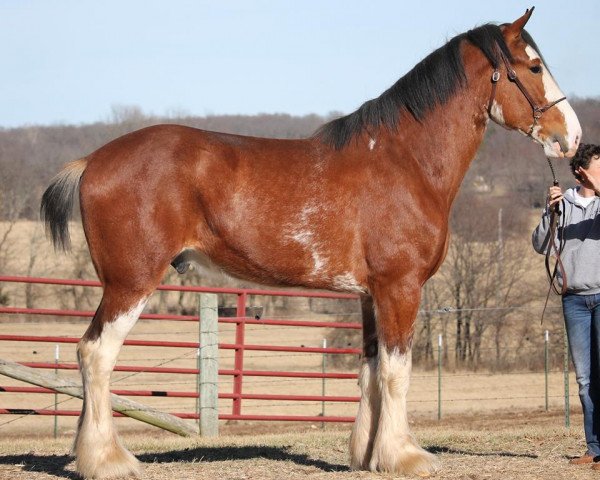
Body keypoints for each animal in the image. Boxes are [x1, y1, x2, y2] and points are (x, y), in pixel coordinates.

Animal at [39, 8, 580, 480]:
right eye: (533, 67)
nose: (571, 137)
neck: (404, 161)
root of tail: (93, 161)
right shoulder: (400, 288)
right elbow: (397, 371)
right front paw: (406, 456)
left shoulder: (370, 295)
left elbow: (370, 371)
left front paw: (367, 455)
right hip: (130, 283)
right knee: (96, 354)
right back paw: (109, 460)